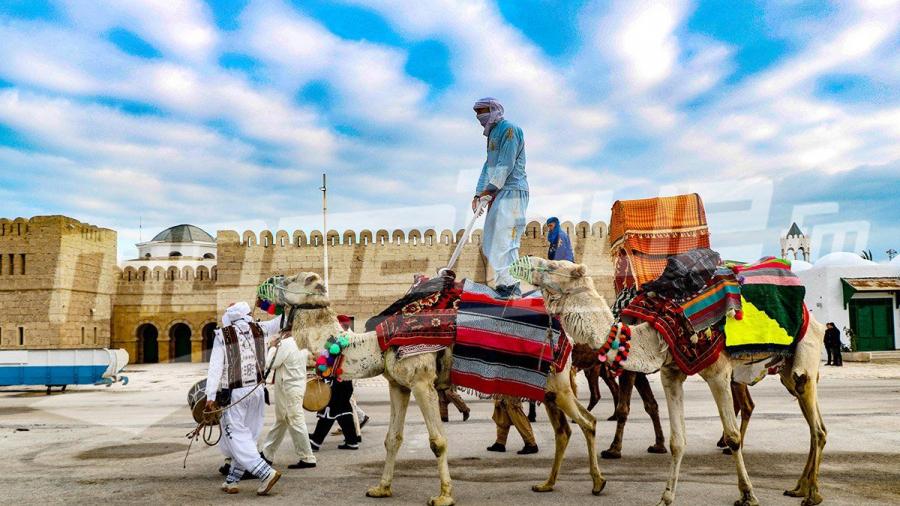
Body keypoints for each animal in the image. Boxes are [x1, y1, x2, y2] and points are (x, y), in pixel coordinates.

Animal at [274, 272, 608, 506]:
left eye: (300, 278)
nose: (274, 281)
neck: (377, 342)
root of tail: (565, 332)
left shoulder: (423, 382)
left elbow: (437, 441)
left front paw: (444, 496)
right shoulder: (398, 385)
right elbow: (392, 439)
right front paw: (381, 488)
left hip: (559, 384)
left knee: (587, 422)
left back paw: (597, 483)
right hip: (548, 389)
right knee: (564, 431)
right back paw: (547, 484)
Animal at [516, 256, 828, 506]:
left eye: (553, 266)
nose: (525, 261)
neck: (652, 334)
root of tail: (812, 314)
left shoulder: (717, 372)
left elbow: (733, 436)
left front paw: (748, 495)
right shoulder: (671, 373)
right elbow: (677, 441)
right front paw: (665, 497)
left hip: (805, 356)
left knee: (816, 429)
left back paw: (812, 494)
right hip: (787, 370)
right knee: (817, 425)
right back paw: (800, 488)